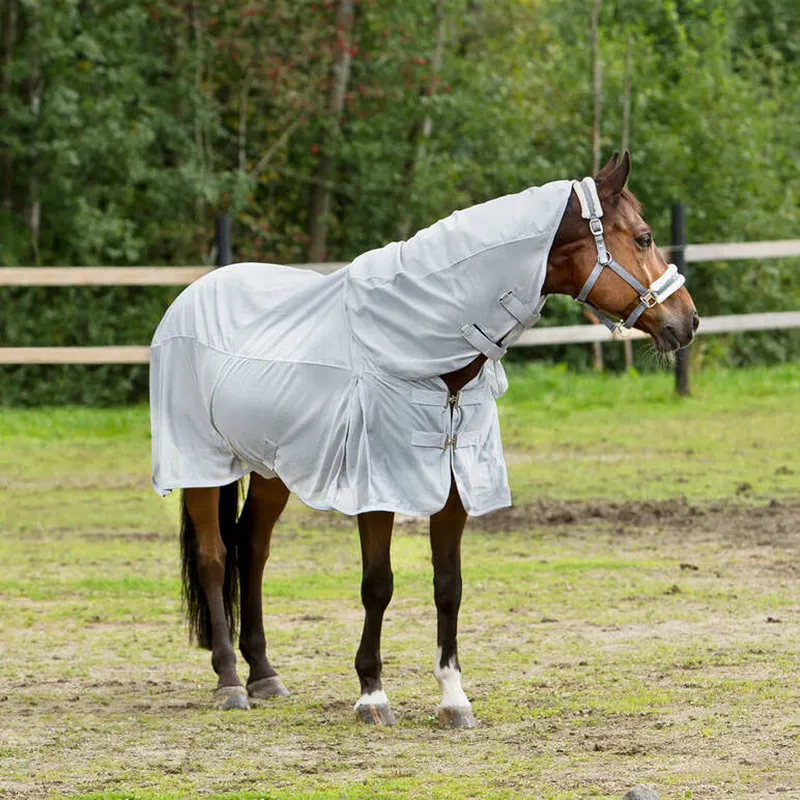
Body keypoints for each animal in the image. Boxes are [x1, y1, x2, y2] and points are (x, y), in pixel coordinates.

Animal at [148, 148, 692, 724]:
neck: (423, 355)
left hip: (271, 466)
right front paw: (372, 694)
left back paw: (264, 674)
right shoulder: (376, 489)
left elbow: (448, 585)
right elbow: (378, 585)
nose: (689, 321)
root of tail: (192, 294)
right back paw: (230, 680)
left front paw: (454, 697)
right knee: (214, 558)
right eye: (643, 238)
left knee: (252, 551)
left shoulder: (453, 487)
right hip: (201, 464)